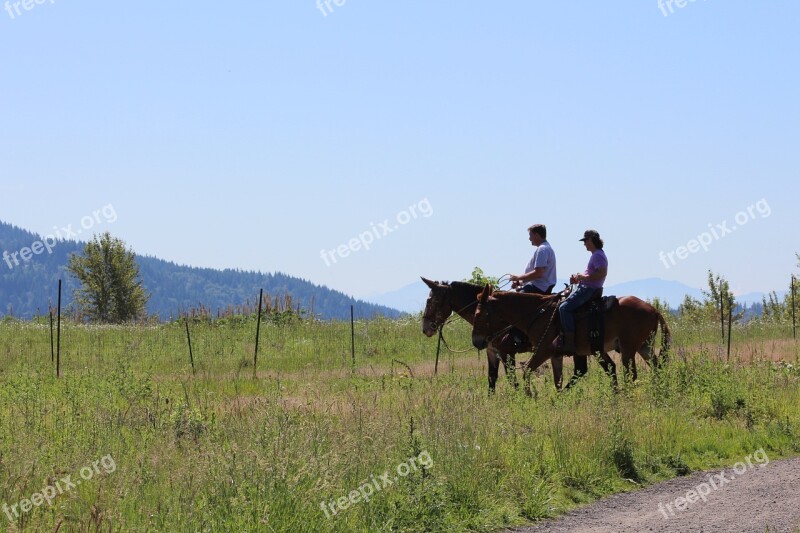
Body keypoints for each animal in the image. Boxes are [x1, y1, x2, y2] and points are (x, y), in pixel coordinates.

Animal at [422, 278, 592, 390]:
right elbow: (492, 378)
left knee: (580, 370)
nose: (425, 328)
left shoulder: (507, 352)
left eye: (431, 301)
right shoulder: (492, 351)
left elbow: (512, 380)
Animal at [472, 284, 672, 388]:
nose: (476, 341)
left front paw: (529, 397)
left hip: (628, 349)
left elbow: (527, 370)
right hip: (643, 346)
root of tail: (653, 309)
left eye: (479, 314)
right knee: (656, 367)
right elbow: (558, 380)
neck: (539, 314)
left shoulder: (543, 350)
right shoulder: (555, 355)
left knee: (631, 374)